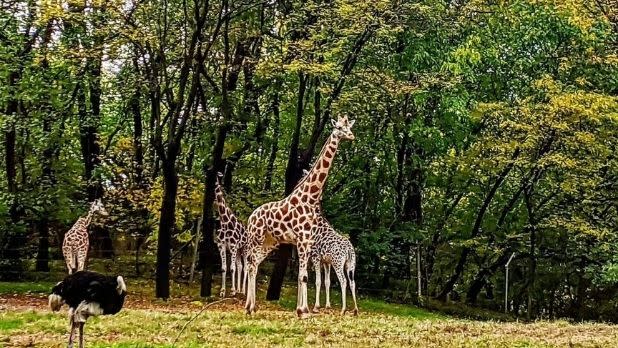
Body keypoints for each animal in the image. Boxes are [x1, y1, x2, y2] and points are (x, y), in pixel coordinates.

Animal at [243, 115, 354, 316]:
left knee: (254, 264)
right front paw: (303, 310)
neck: (309, 198)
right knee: (250, 264)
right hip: (256, 238)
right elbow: (303, 277)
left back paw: (252, 307)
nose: (351, 136)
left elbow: (304, 276)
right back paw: (248, 307)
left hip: (269, 242)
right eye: (339, 128)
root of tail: (251, 217)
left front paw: (303, 309)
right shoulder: (302, 240)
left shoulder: (307, 241)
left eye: (349, 127)